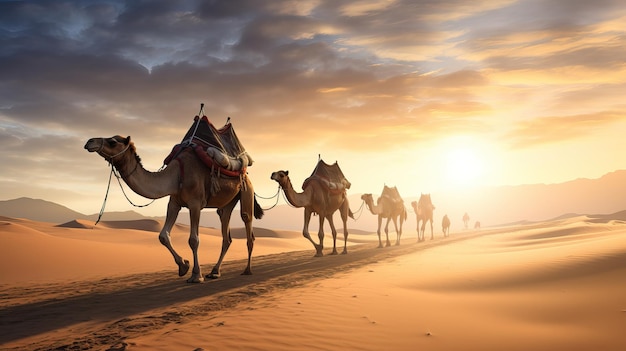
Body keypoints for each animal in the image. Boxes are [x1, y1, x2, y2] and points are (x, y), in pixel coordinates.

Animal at [83, 135, 260, 284]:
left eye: (112, 141)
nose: (89, 142)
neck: (177, 175)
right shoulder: (174, 202)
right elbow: (163, 236)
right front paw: (183, 266)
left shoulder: (195, 203)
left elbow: (194, 240)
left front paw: (196, 275)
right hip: (227, 203)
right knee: (226, 231)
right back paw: (215, 271)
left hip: (246, 190)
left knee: (247, 224)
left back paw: (247, 270)